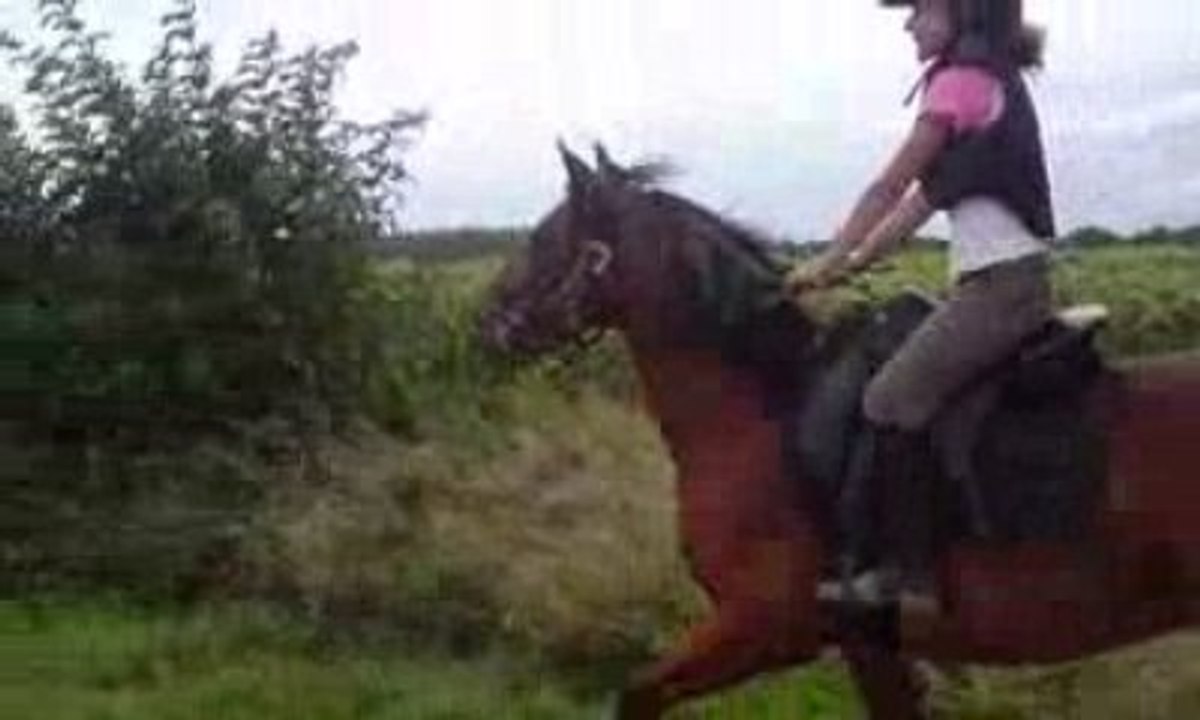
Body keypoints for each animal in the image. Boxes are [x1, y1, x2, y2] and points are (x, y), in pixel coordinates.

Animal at [478, 143, 1200, 719]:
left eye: (545, 238)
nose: (493, 321)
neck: (764, 413)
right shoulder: (866, 646)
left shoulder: (763, 628)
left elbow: (637, 694)